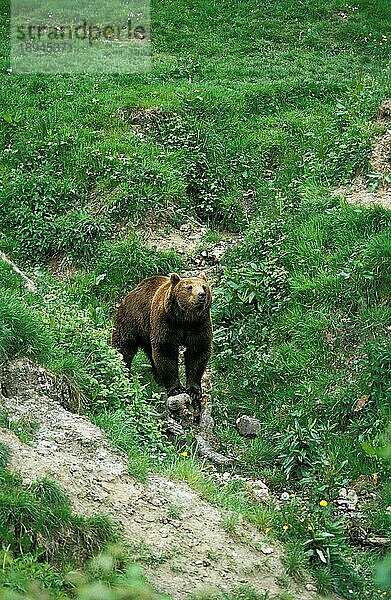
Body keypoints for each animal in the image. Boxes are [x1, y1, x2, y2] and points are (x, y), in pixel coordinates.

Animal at [112, 274, 213, 410]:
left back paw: (158, 377)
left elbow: (197, 353)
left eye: (204, 287)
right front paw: (176, 389)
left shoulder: (199, 325)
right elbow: (166, 352)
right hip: (132, 320)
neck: (185, 320)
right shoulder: (166, 322)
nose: (201, 295)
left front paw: (194, 391)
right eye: (189, 287)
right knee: (124, 348)